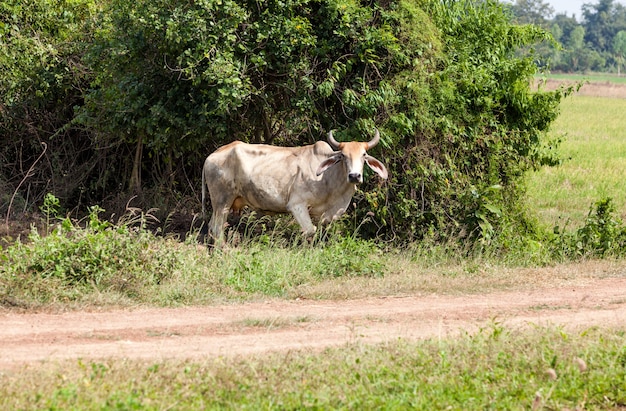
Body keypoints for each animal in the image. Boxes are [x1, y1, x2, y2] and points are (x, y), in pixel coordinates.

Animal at [201, 130, 386, 245]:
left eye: (364, 155)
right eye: (343, 156)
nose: (354, 176)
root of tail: (212, 156)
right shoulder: (297, 205)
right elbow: (310, 231)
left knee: (212, 227)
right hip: (222, 202)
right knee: (217, 229)